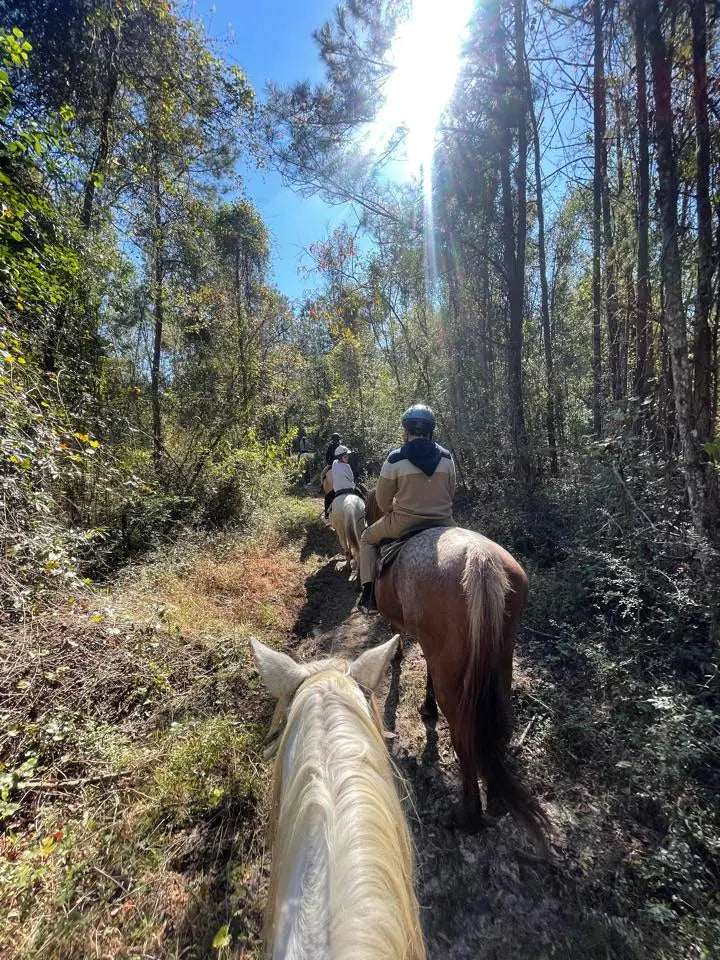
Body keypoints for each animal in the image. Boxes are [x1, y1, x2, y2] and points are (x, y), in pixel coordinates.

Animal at [366, 492, 544, 844]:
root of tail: (480, 561)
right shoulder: (436, 649)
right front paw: (427, 706)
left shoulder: (408, 630)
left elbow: (397, 644)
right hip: (500, 659)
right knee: (502, 720)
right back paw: (495, 798)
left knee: (463, 732)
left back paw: (468, 814)